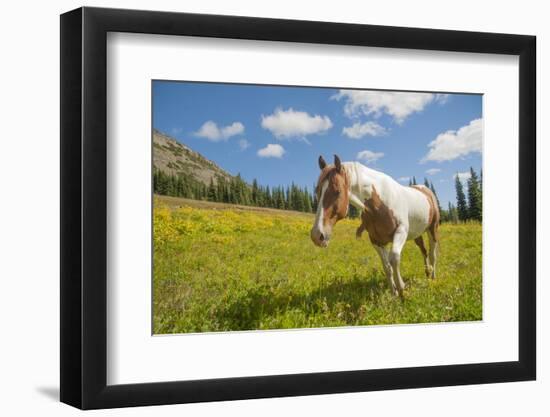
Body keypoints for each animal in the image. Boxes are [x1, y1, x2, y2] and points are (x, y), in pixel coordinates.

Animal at [312, 154, 442, 296]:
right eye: (317, 190)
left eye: (337, 191)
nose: (317, 235)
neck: (378, 204)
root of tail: (426, 191)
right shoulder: (376, 241)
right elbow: (387, 267)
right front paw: (394, 293)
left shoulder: (401, 231)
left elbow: (394, 258)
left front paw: (402, 288)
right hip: (416, 233)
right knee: (423, 251)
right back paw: (427, 273)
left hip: (432, 229)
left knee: (432, 254)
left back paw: (433, 278)